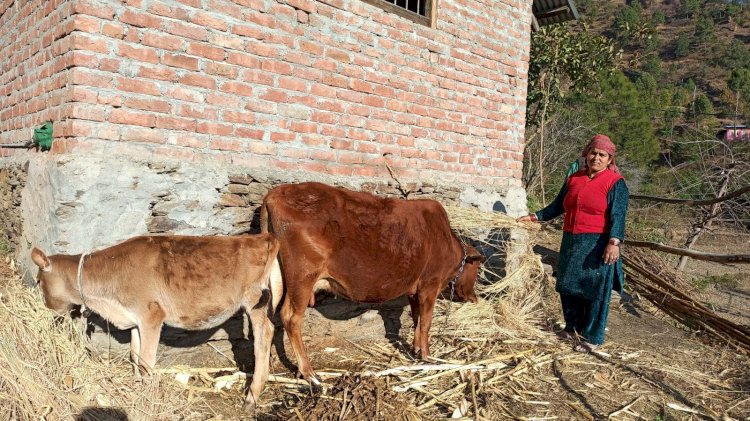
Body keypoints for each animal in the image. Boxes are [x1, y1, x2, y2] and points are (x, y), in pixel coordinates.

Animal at [30, 233, 284, 406]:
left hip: (255, 301)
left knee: (264, 337)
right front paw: (136, 386)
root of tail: (263, 238)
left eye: (39, 281)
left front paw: (148, 396)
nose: (45, 309)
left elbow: (146, 362)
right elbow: (134, 355)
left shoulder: (152, 315)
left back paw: (252, 396)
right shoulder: (135, 319)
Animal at [262, 181, 484, 380]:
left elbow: (417, 319)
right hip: (303, 278)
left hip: (278, 279)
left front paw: (415, 349)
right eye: (477, 269)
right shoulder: (430, 286)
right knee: (291, 318)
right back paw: (309, 373)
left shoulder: (414, 290)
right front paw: (428, 356)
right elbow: (426, 323)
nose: (474, 298)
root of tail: (275, 194)